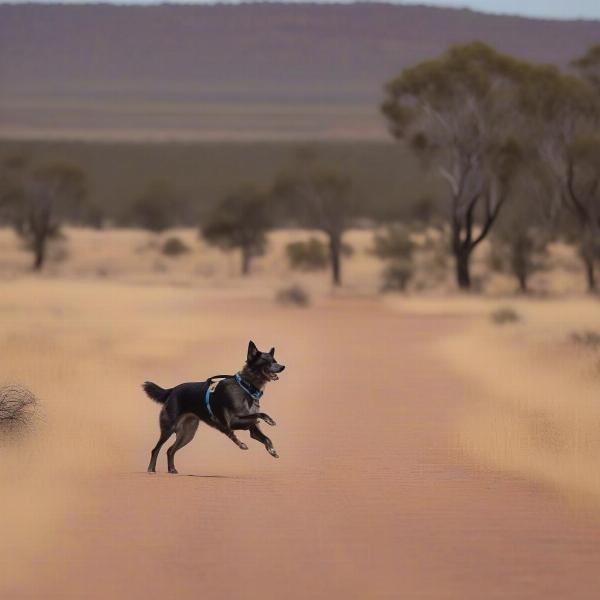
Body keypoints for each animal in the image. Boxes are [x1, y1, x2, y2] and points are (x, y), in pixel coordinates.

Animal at [145, 342, 286, 474]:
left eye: (275, 361)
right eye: (267, 361)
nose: (283, 367)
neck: (245, 387)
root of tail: (172, 390)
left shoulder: (252, 429)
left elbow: (266, 437)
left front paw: (272, 450)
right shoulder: (232, 422)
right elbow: (259, 414)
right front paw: (268, 420)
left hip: (188, 434)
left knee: (170, 450)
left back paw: (172, 469)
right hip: (168, 428)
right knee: (155, 449)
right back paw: (151, 469)